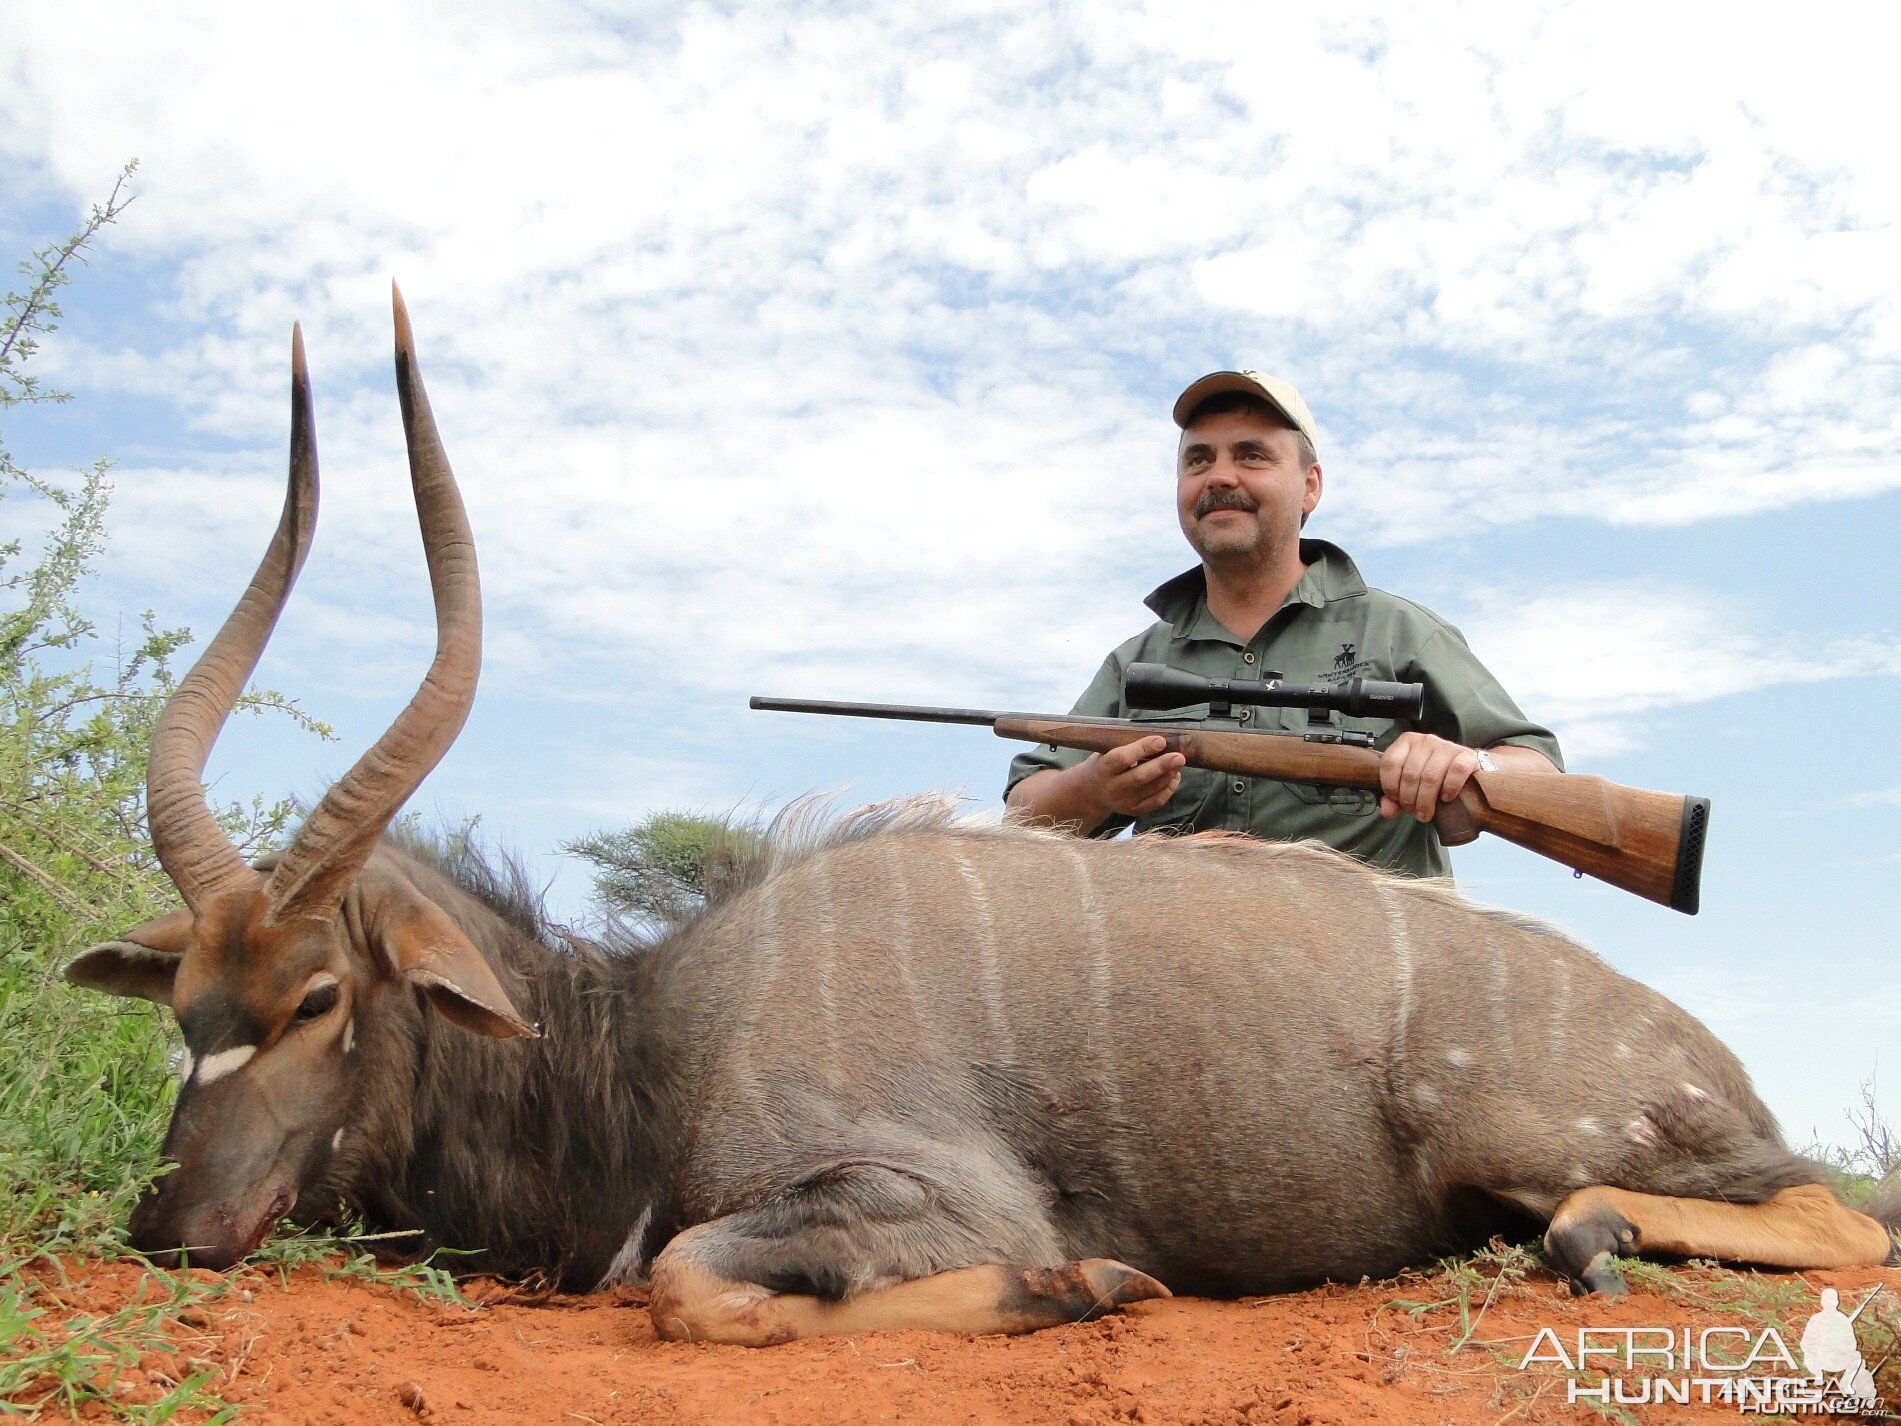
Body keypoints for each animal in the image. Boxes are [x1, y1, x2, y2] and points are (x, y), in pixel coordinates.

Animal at [67, 292, 1893, 1353]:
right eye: (186, 1009)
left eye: (321, 996)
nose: (167, 1229)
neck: (645, 1037)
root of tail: (1685, 1030)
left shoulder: (919, 1194)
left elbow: (689, 1281)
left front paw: (1082, 1283)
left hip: (1533, 1132)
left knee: (1821, 1213)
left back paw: (1594, 1238)